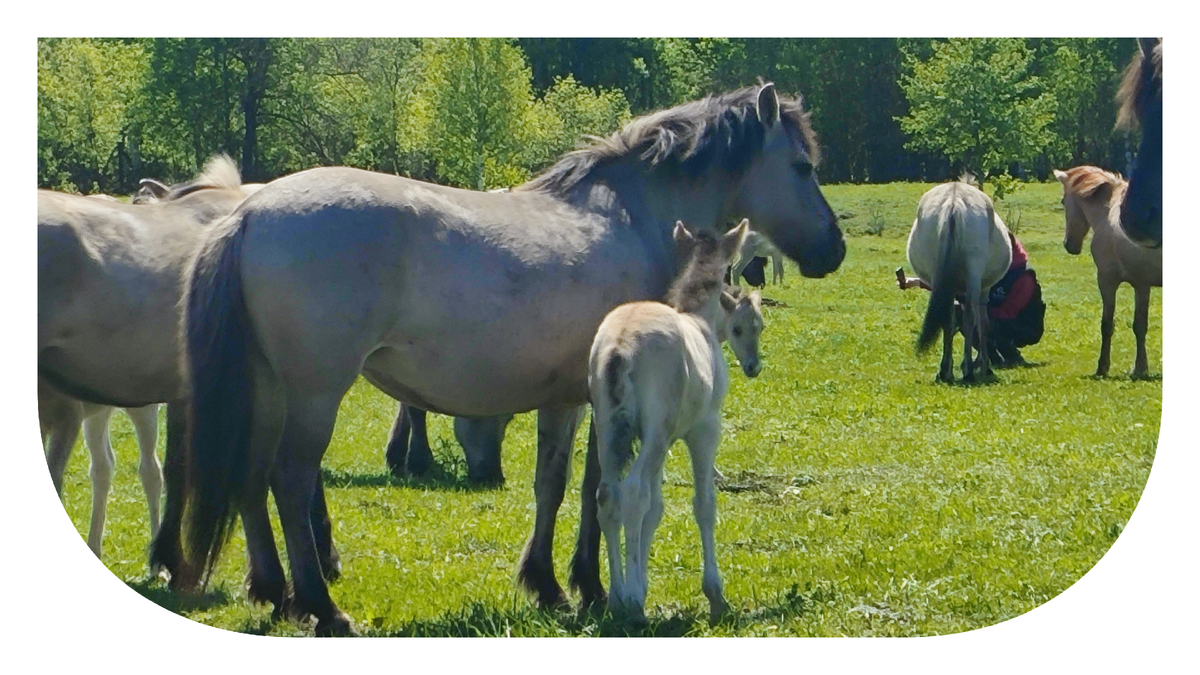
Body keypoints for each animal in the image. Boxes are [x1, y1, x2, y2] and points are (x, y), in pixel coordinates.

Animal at [585, 220, 763, 619]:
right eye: (743, 328)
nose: (754, 366)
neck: (698, 320)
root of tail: (620, 346)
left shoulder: (664, 442)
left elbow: (656, 509)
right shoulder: (703, 430)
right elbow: (703, 504)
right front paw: (715, 594)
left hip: (607, 429)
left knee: (608, 495)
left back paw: (618, 595)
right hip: (655, 432)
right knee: (633, 492)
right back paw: (632, 600)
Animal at [907, 176, 1012, 381]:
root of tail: (953, 201)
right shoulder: (983, 290)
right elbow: (982, 322)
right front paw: (983, 364)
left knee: (948, 317)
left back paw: (945, 371)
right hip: (974, 273)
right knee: (970, 316)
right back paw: (968, 370)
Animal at [1056, 165, 1156, 374]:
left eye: (1063, 201)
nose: (1070, 245)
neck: (1110, 213)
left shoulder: (1107, 281)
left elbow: (1107, 325)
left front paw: (1102, 367)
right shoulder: (1142, 285)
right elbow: (1140, 325)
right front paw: (1140, 368)